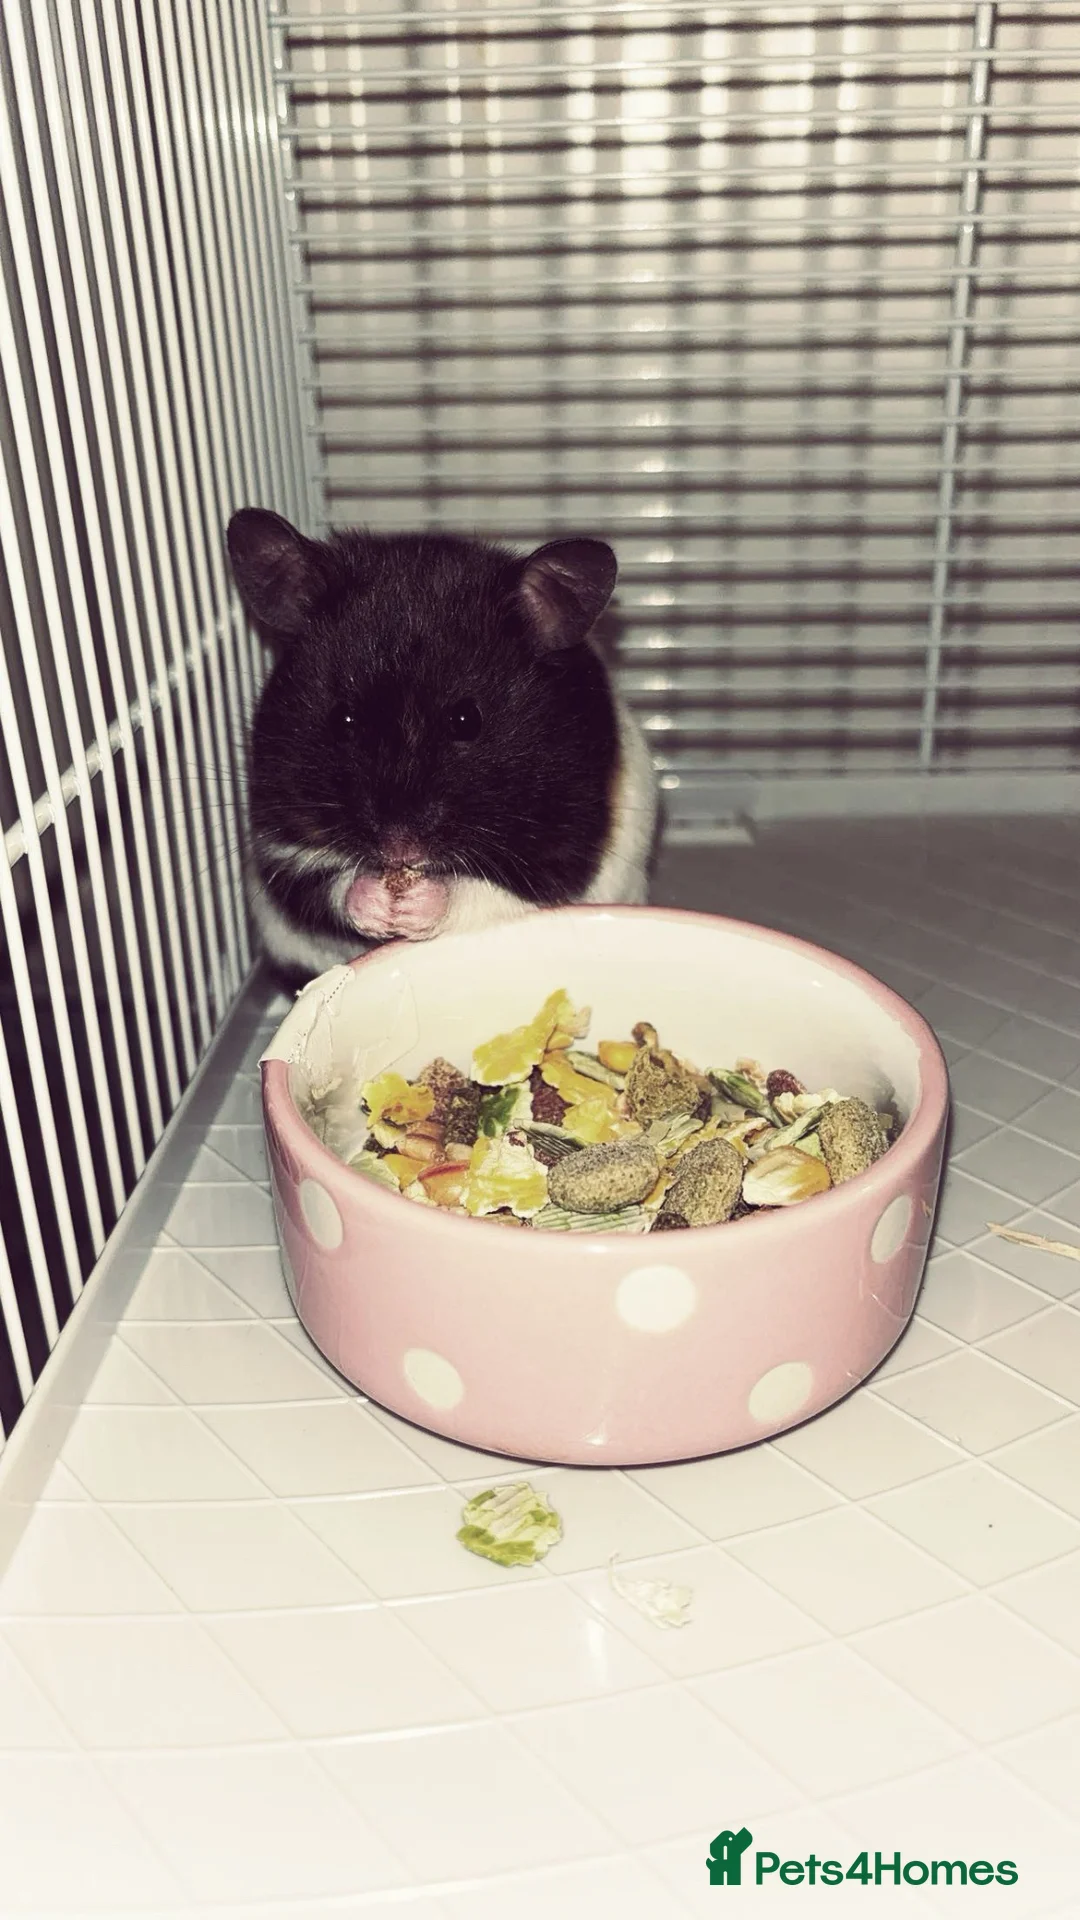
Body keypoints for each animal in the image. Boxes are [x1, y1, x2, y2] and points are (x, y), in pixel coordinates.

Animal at [226, 509, 659, 986]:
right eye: (343, 719)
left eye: (467, 720)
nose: (399, 849)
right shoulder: (279, 840)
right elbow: (320, 887)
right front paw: (379, 903)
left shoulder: (563, 853)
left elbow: (481, 892)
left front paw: (416, 906)